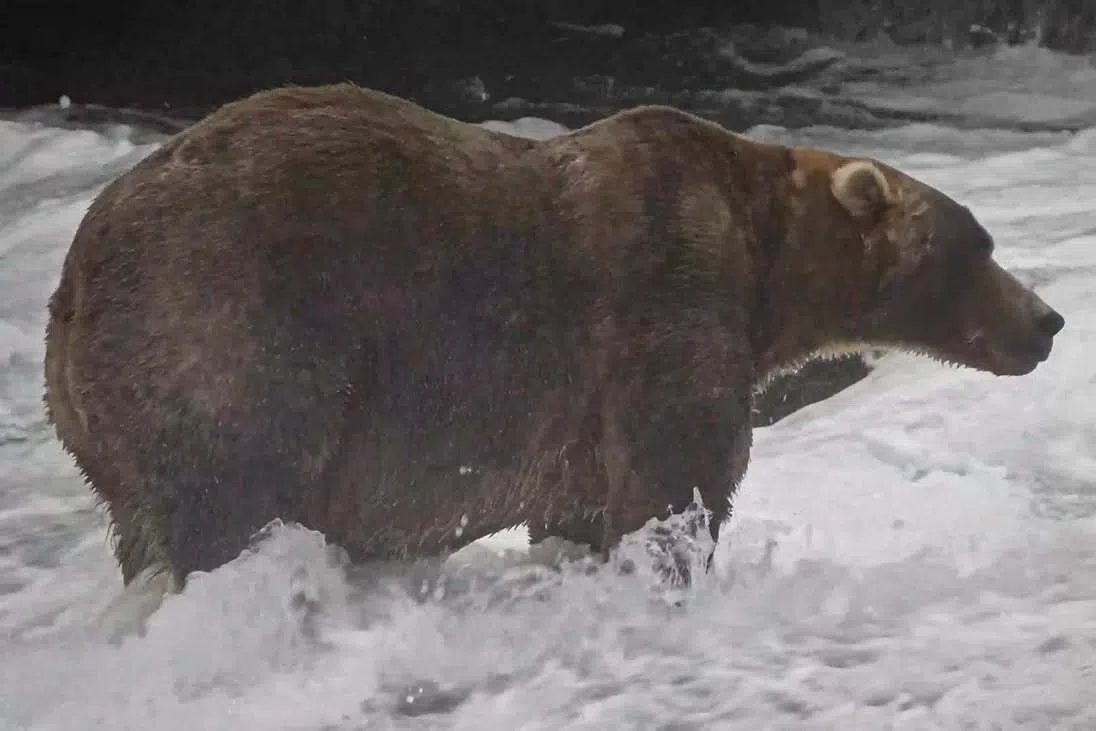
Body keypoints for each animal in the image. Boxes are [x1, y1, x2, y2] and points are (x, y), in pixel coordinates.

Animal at [43, 83, 1065, 590]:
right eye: (979, 244)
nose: (1049, 320)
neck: (765, 260)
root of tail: (71, 281)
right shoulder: (664, 300)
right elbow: (676, 478)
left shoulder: (577, 418)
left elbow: (580, 505)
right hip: (231, 330)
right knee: (232, 493)